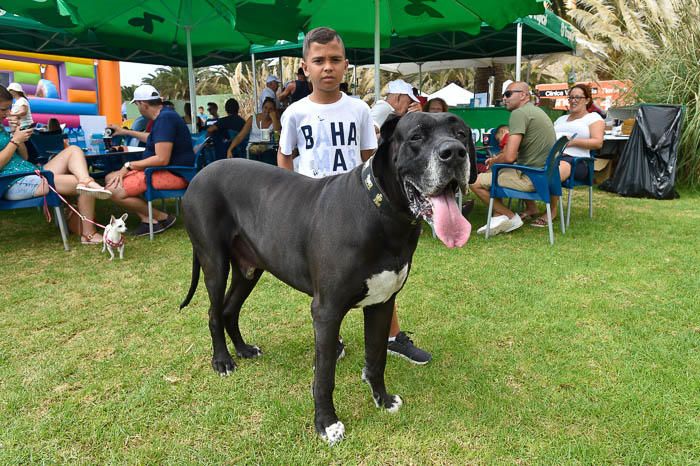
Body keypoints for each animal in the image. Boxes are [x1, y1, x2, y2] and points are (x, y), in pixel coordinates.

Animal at [179, 112, 476, 444]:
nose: (454, 153)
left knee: (230, 309)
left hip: (249, 268)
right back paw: (222, 361)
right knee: (213, 312)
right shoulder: (326, 312)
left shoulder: (382, 303)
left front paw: (382, 400)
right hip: (214, 262)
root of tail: (201, 174)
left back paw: (243, 350)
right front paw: (326, 423)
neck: (383, 215)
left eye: (461, 133)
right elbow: (324, 376)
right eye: (416, 136)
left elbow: (377, 359)